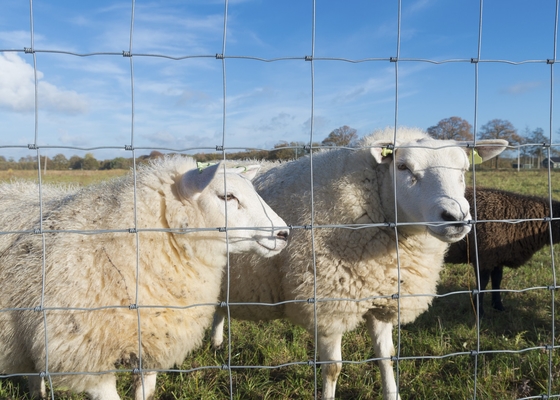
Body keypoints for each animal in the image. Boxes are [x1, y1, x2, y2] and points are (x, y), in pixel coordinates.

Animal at [209, 126, 508, 398]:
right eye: (403, 167)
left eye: (464, 170)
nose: (456, 217)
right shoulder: (327, 307)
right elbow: (333, 369)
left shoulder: (383, 298)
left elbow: (386, 356)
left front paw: (392, 394)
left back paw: (216, 342)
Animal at [446, 187, 560, 316]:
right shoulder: (484, 257)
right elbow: (482, 284)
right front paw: (479, 311)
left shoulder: (497, 257)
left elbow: (497, 280)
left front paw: (498, 306)